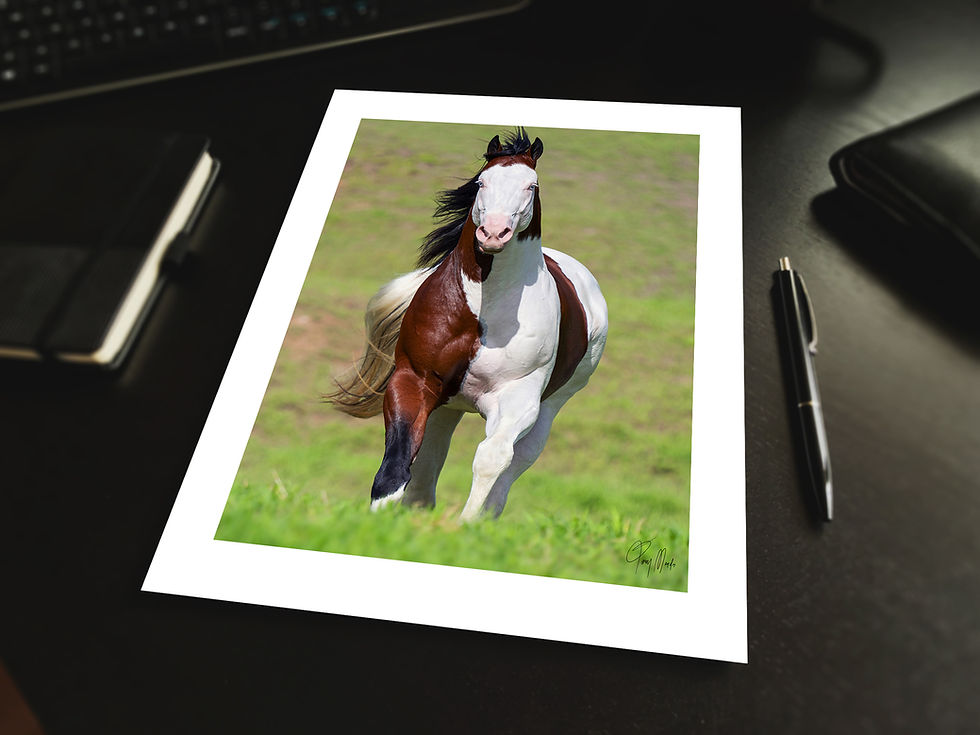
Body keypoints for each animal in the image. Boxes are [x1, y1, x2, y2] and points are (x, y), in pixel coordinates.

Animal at [328, 129, 608, 521]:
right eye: (481, 182)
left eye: (531, 185)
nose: (493, 233)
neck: (480, 313)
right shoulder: (413, 379)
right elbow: (400, 455)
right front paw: (381, 517)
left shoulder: (517, 397)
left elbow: (491, 458)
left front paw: (468, 525)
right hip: (447, 405)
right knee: (429, 459)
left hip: (551, 405)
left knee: (517, 461)